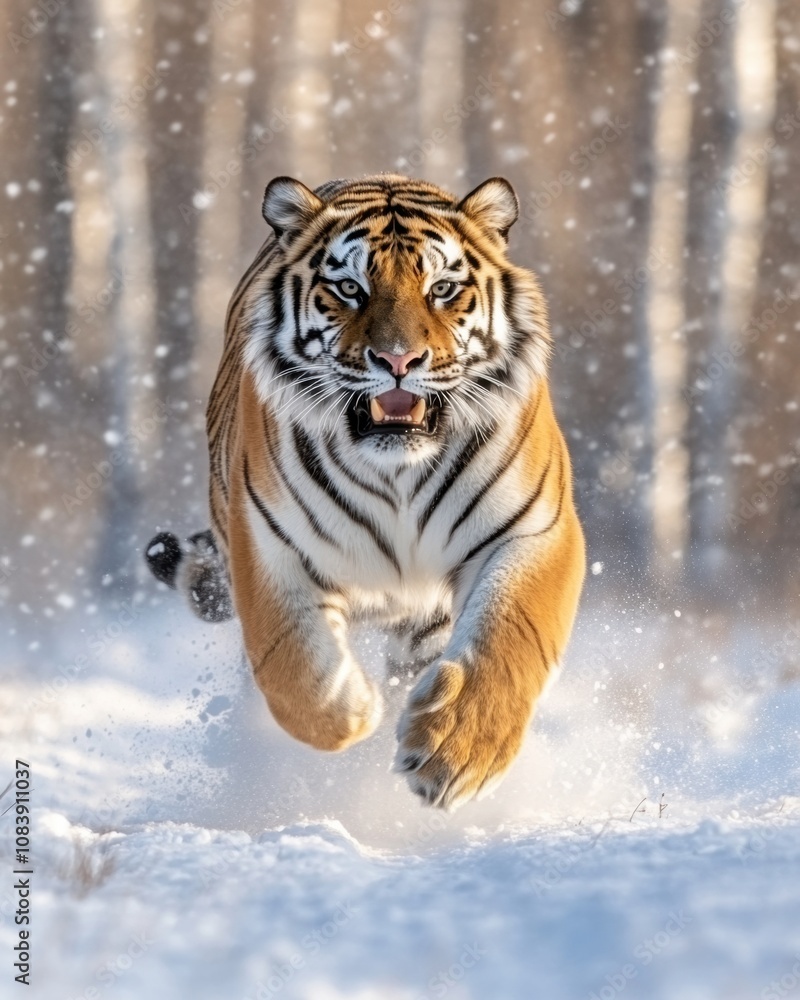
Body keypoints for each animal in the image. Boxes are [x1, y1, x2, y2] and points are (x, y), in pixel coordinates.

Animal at [145, 173, 585, 811]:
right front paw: (357, 711)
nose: (399, 360)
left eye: (442, 288)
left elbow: (510, 639)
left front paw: (454, 754)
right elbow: (294, 667)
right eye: (350, 289)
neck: (397, 470)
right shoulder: (269, 545)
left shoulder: (535, 531)